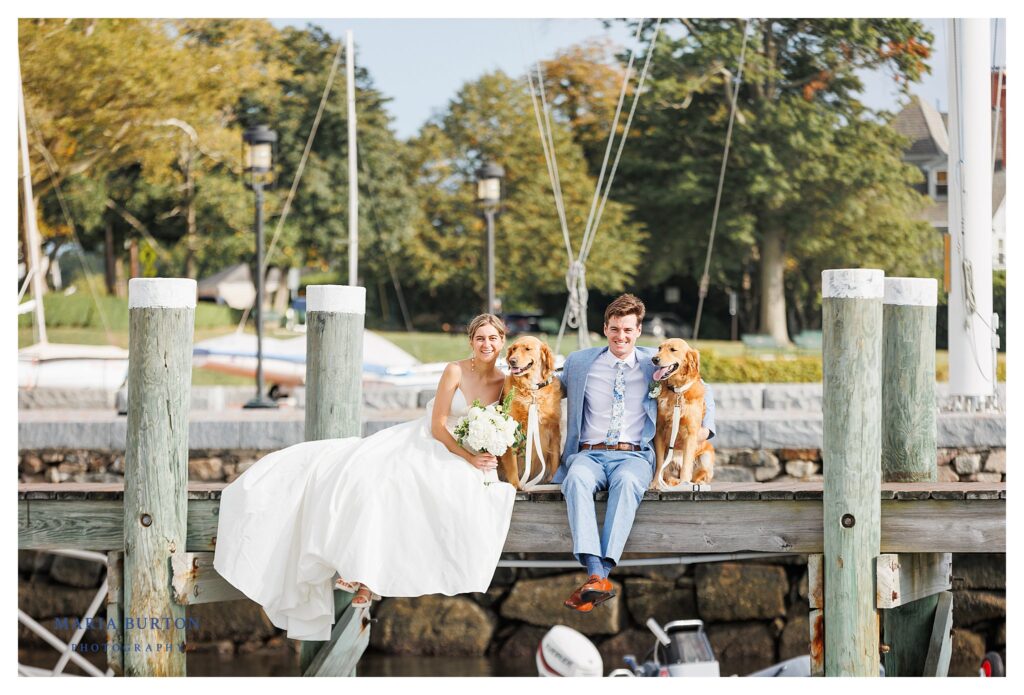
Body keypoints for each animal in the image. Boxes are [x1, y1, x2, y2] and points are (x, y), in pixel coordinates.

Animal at [499, 336, 562, 489]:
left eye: (527, 349)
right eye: (514, 349)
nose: (512, 361)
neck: (532, 390)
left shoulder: (554, 431)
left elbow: (555, 460)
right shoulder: (512, 430)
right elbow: (513, 466)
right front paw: (516, 486)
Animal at [651, 338, 715, 488]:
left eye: (673, 349)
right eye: (659, 348)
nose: (654, 359)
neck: (677, 391)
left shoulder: (691, 433)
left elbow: (686, 465)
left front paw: (684, 484)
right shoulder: (659, 430)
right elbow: (659, 463)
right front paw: (655, 483)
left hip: (706, 455)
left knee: (698, 475)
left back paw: (698, 483)